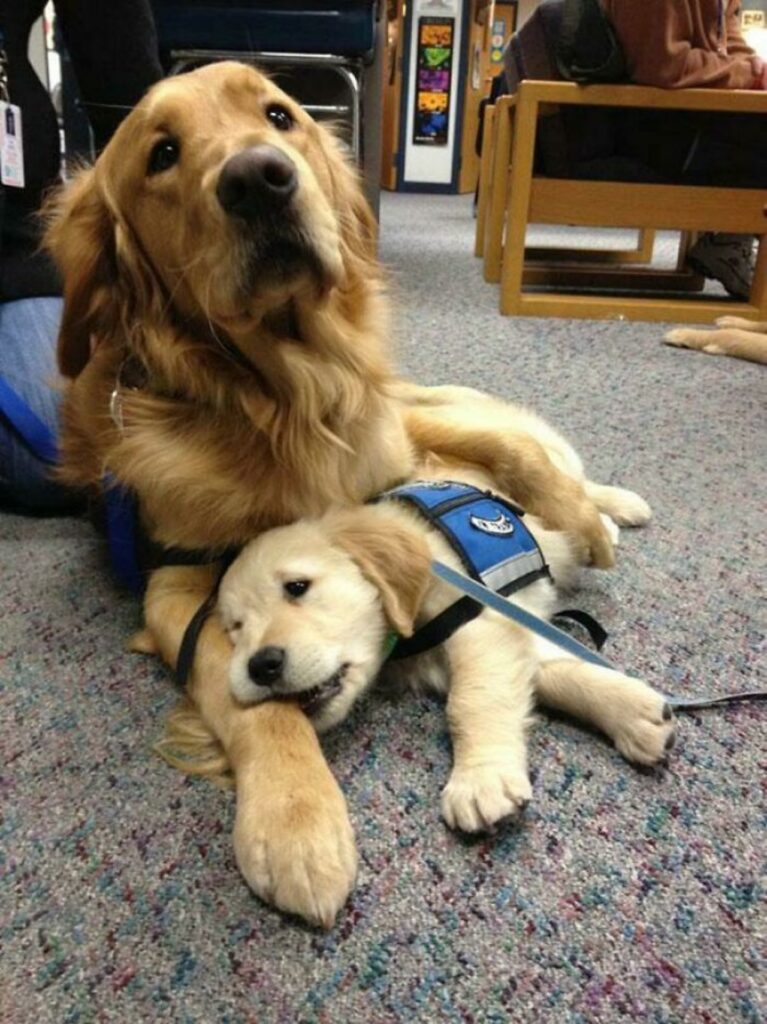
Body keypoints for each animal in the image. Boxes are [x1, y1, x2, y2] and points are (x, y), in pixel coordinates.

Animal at [43, 61, 622, 929]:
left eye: (279, 115)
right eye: (162, 153)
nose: (258, 178)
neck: (282, 398)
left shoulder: (389, 454)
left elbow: (505, 455)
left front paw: (579, 523)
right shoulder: (176, 584)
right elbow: (255, 702)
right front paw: (295, 821)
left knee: (512, 435)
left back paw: (609, 509)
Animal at [218, 468, 671, 835]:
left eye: (297, 587)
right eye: (235, 628)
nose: (261, 665)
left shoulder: (479, 620)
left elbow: (470, 700)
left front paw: (480, 780)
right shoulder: (494, 639)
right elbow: (552, 674)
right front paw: (635, 713)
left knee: (574, 486)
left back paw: (620, 512)